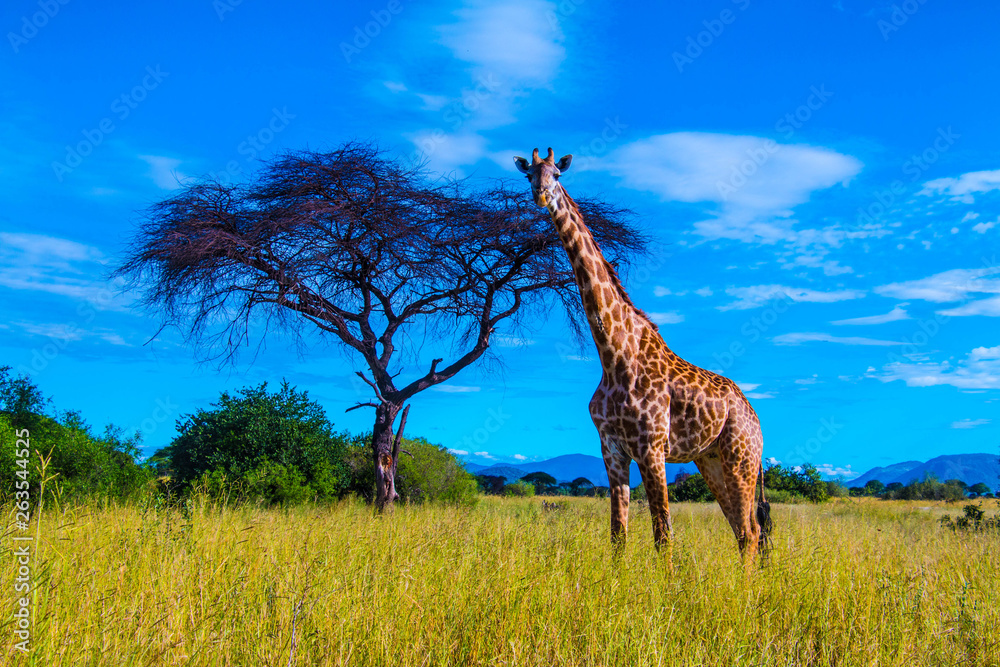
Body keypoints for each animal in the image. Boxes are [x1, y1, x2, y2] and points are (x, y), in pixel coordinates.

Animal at [514, 147, 771, 558]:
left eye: (557, 173)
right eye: (528, 175)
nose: (541, 194)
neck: (613, 354)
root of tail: (756, 420)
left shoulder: (651, 448)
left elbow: (663, 536)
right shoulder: (612, 449)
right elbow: (618, 534)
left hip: (741, 459)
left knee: (749, 532)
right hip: (710, 460)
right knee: (745, 531)